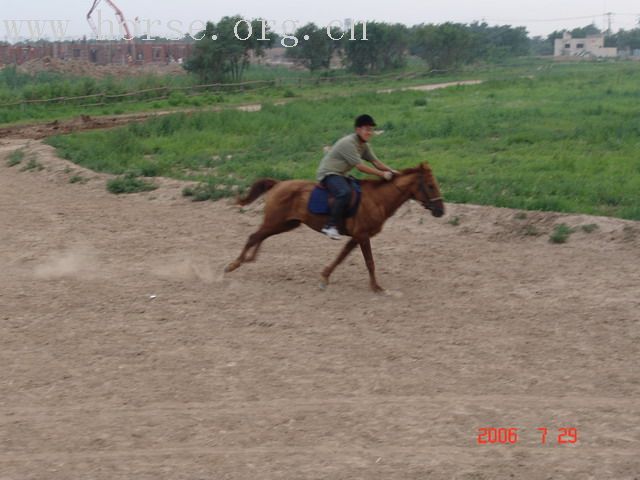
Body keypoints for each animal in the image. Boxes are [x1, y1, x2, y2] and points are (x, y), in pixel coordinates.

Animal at [226, 163, 444, 292]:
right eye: (431, 186)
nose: (441, 210)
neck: (377, 199)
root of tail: (278, 184)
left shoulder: (356, 237)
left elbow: (342, 256)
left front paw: (325, 276)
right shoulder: (362, 235)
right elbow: (369, 262)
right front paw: (375, 287)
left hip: (286, 224)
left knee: (260, 236)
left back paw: (248, 259)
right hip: (276, 221)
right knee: (254, 236)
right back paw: (234, 264)